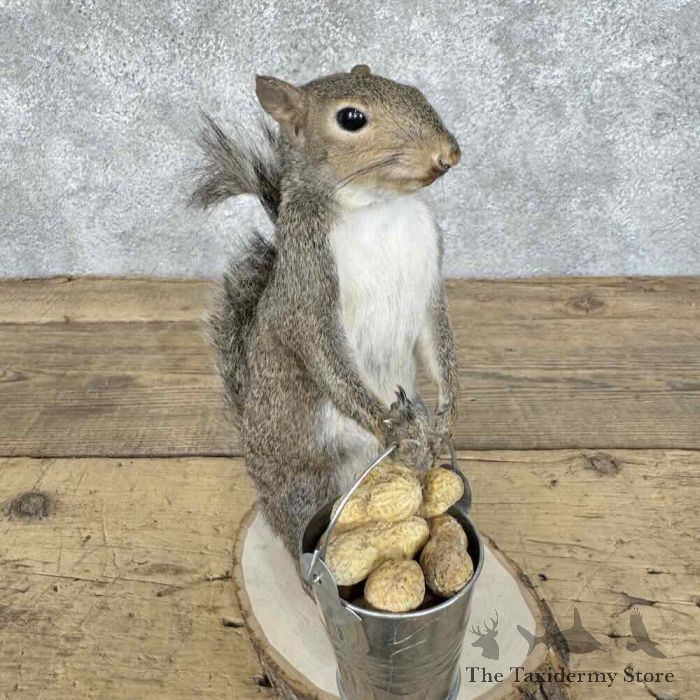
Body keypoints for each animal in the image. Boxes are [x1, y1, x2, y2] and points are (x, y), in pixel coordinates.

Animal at [191, 65, 460, 554]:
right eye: (351, 118)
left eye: (411, 89)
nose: (447, 153)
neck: (377, 208)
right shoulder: (309, 285)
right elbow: (325, 355)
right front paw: (389, 424)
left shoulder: (431, 276)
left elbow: (439, 340)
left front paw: (448, 412)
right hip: (307, 481)